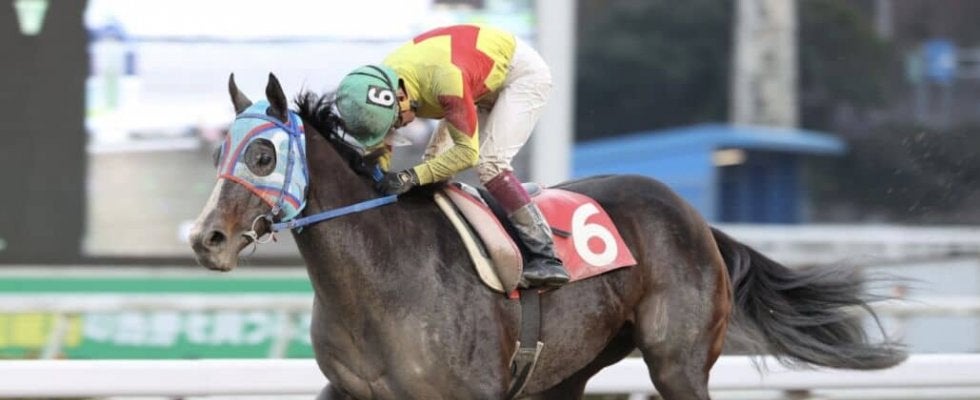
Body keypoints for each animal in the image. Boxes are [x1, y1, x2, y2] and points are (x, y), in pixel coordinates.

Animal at [189, 73, 905, 400]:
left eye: (262, 155)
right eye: (221, 151)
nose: (207, 238)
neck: (377, 279)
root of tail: (697, 221)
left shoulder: (473, 392)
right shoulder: (351, 389)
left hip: (676, 361)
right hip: (567, 371)